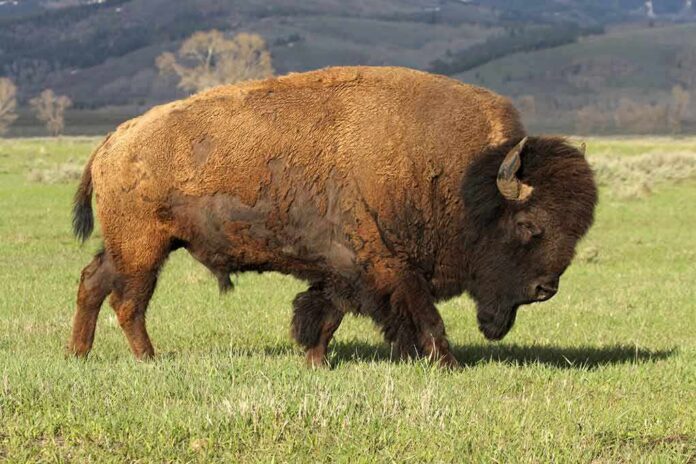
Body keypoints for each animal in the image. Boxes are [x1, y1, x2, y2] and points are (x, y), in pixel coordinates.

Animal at [68, 66, 597, 367]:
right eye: (529, 226)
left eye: (578, 230)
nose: (545, 288)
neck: (464, 179)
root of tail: (114, 141)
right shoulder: (387, 267)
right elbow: (424, 318)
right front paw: (447, 364)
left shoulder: (343, 270)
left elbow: (323, 316)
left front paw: (315, 363)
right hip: (144, 249)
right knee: (128, 302)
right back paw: (148, 361)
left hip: (129, 246)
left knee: (93, 282)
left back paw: (79, 354)